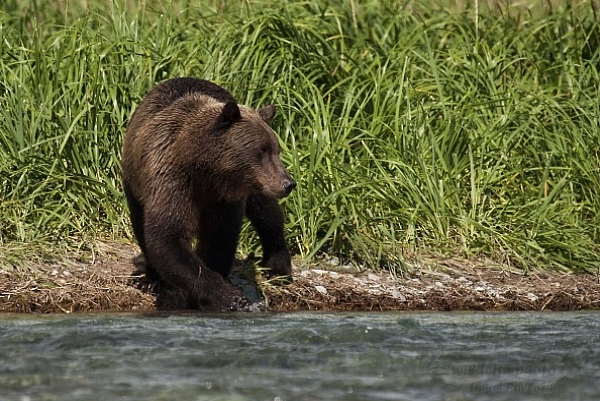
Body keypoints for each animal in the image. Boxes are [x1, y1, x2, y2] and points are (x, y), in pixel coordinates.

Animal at [122, 77, 298, 310]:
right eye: (262, 150)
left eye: (276, 149)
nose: (288, 183)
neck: (204, 169)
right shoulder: (172, 182)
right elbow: (168, 237)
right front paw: (229, 297)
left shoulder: (224, 198)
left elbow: (219, 238)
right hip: (134, 182)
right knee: (140, 224)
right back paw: (150, 278)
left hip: (255, 189)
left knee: (267, 213)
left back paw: (277, 266)